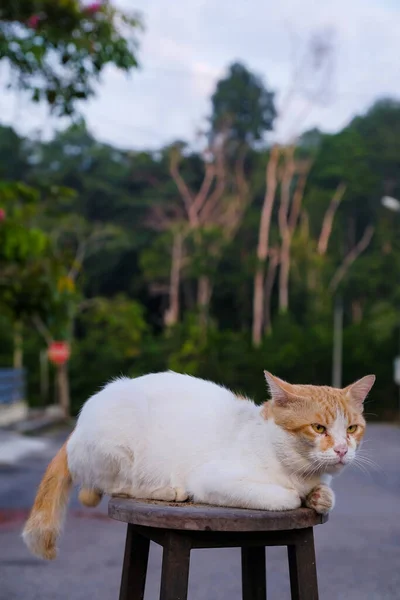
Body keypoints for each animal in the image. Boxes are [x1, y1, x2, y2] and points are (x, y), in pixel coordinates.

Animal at [21, 368, 374, 560]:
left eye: (352, 429)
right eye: (318, 428)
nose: (342, 450)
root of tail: (75, 430)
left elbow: (326, 496)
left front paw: (319, 496)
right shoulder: (212, 479)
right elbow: (285, 497)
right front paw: (300, 496)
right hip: (120, 443)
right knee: (115, 487)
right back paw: (168, 491)